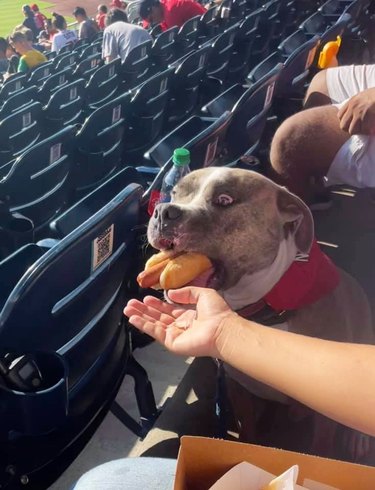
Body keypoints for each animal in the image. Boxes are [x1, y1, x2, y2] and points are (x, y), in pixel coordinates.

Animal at [147, 167, 375, 462]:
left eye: (224, 199)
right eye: (175, 193)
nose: (163, 211)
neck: (264, 312)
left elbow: (321, 446)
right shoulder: (237, 387)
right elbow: (247, 427)